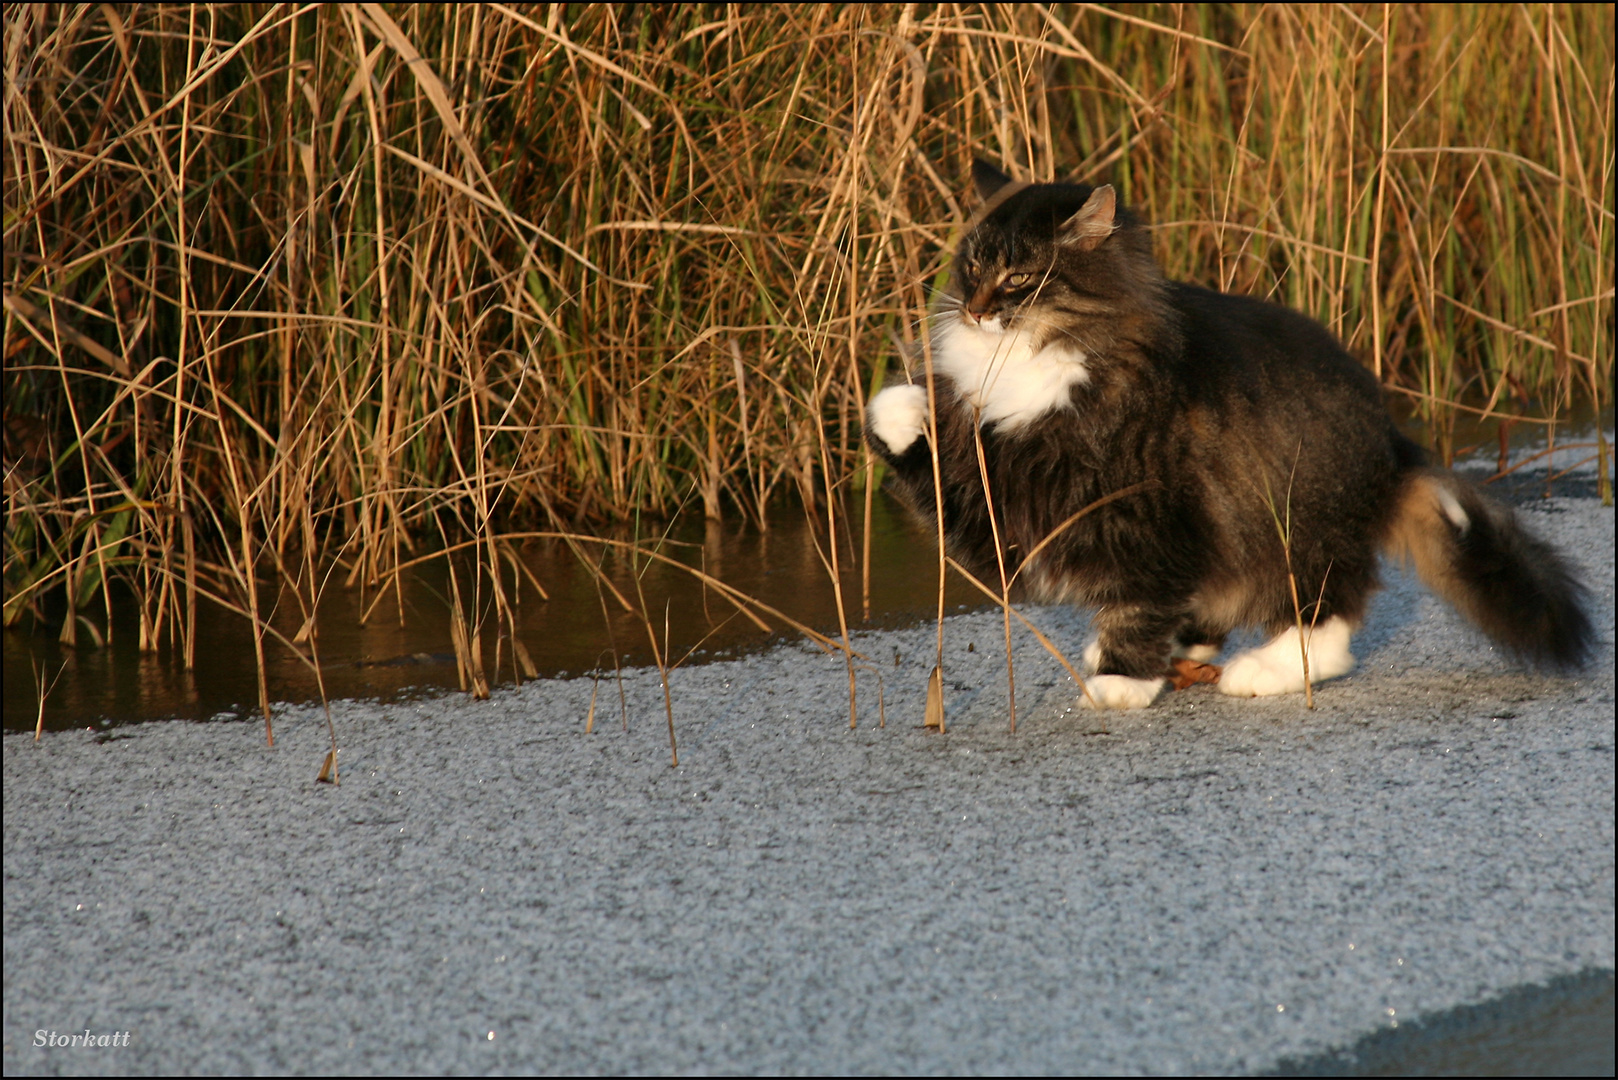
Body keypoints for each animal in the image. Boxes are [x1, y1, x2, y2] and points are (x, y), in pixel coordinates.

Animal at [867, 160, 1585, 709]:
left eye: (1018, 278)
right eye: (971, 268)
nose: (974, 310)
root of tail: (1389, 436)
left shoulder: (1141, 510)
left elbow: (1140, 603)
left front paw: (1120, 684)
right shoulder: (1009, 493)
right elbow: (919, 445)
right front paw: (901, 404)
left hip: (1295, 528)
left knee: (1329, 618)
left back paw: (1262, 671)